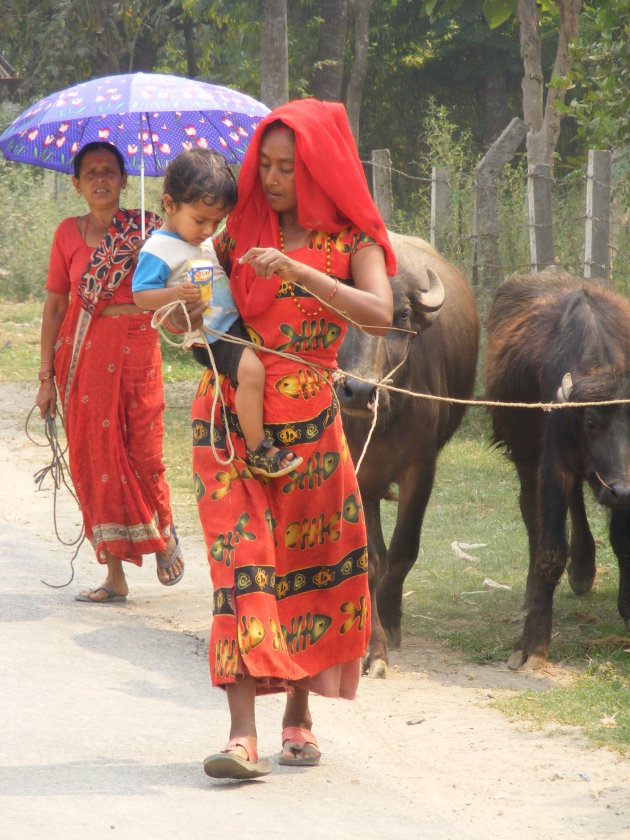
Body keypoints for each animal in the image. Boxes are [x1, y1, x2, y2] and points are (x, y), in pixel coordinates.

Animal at [338, 233, 482, 680]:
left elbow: (402, 553)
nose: (358, 391)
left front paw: (389, 621)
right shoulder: (359, 475)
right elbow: (371, 560)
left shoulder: (421, 470)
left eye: (401, 314)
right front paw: (374, 646)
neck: (385, 417)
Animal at [486, 270, 630, 668]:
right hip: (526, 456)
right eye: (591, 420)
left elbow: (622, 540)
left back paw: (583, 568)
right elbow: (550, 551)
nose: (622, 490)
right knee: (532, 514)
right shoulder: (554, 462)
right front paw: (532, 643)